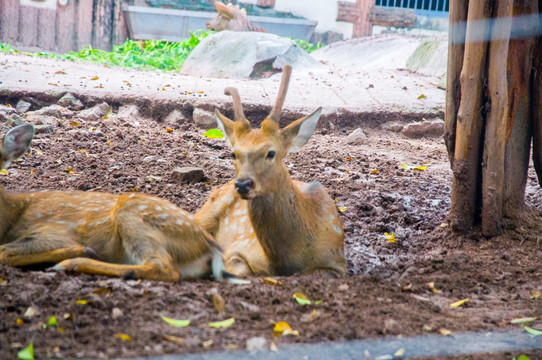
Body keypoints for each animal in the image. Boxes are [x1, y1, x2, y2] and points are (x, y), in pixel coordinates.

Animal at [0, 124, 242, 284]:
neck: (12, 214)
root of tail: (210, 247)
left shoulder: (53, 232)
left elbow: (3, 252)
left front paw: (80, 251)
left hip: (133, 213)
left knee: (163, 267)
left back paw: (71, 263)